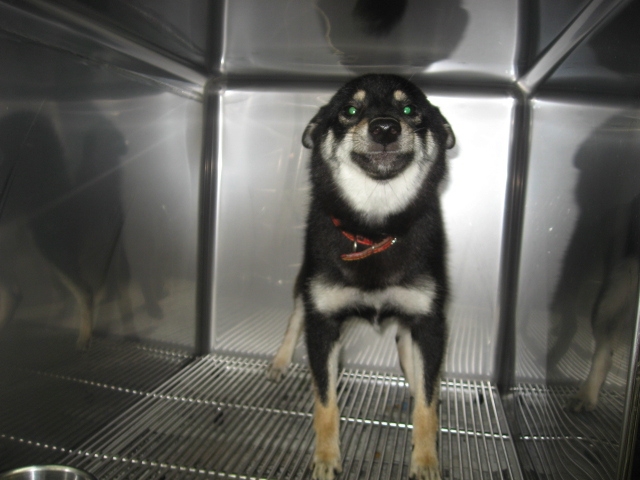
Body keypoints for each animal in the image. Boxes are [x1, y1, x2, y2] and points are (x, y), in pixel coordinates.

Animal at [268, 74, 455, 480]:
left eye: (410, 109)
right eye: (349, 110)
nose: (385, 128)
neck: (374, 230)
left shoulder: (428, 323)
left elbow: (427, 405)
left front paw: (426, 460)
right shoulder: (322, 323)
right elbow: (325, 404)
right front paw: (325, 458)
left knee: (413, 367)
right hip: (305, 286)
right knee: (295, 316)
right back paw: (280, 361)